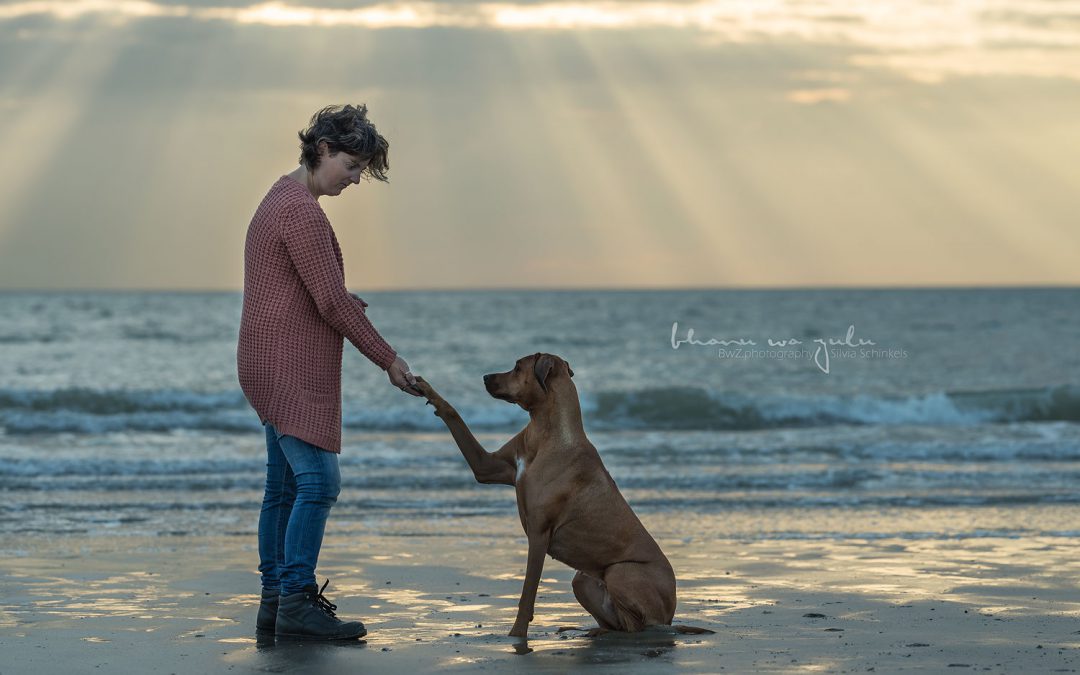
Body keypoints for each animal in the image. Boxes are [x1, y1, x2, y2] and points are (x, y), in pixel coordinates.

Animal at [414, 352, 678, 635]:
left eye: (517, 367)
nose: (485, 377)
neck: (545, 432)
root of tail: (671, 614)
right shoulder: (486, 466)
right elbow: (454, 415)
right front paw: (427, 390)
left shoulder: (539, 534)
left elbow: (527, 594)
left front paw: (516, 635)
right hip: (582, 579)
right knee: (615, 619)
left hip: (620, 572)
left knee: (636, 625)